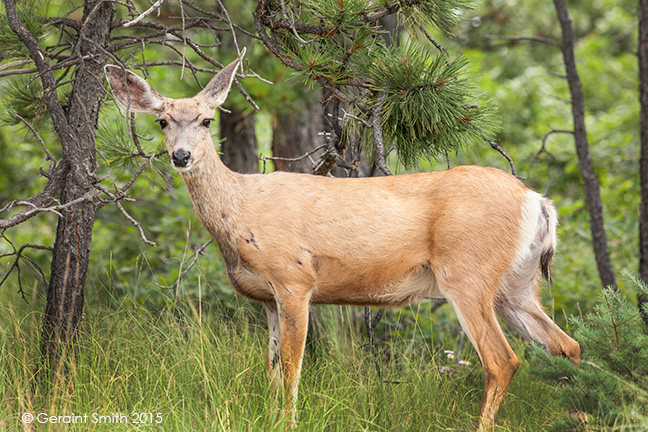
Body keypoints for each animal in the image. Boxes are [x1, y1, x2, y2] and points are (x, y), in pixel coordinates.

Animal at [106, 52, 584, 430]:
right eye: (162, 121)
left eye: (207, 121)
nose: (181, 155)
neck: (241, 211)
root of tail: (537, 201)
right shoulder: (266, 298)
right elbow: (270, 369)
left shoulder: (294, 279)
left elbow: (292, 369)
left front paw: (289, 423)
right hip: (516, 283)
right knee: (567, 346)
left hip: (467, 273)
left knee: (503, 360)